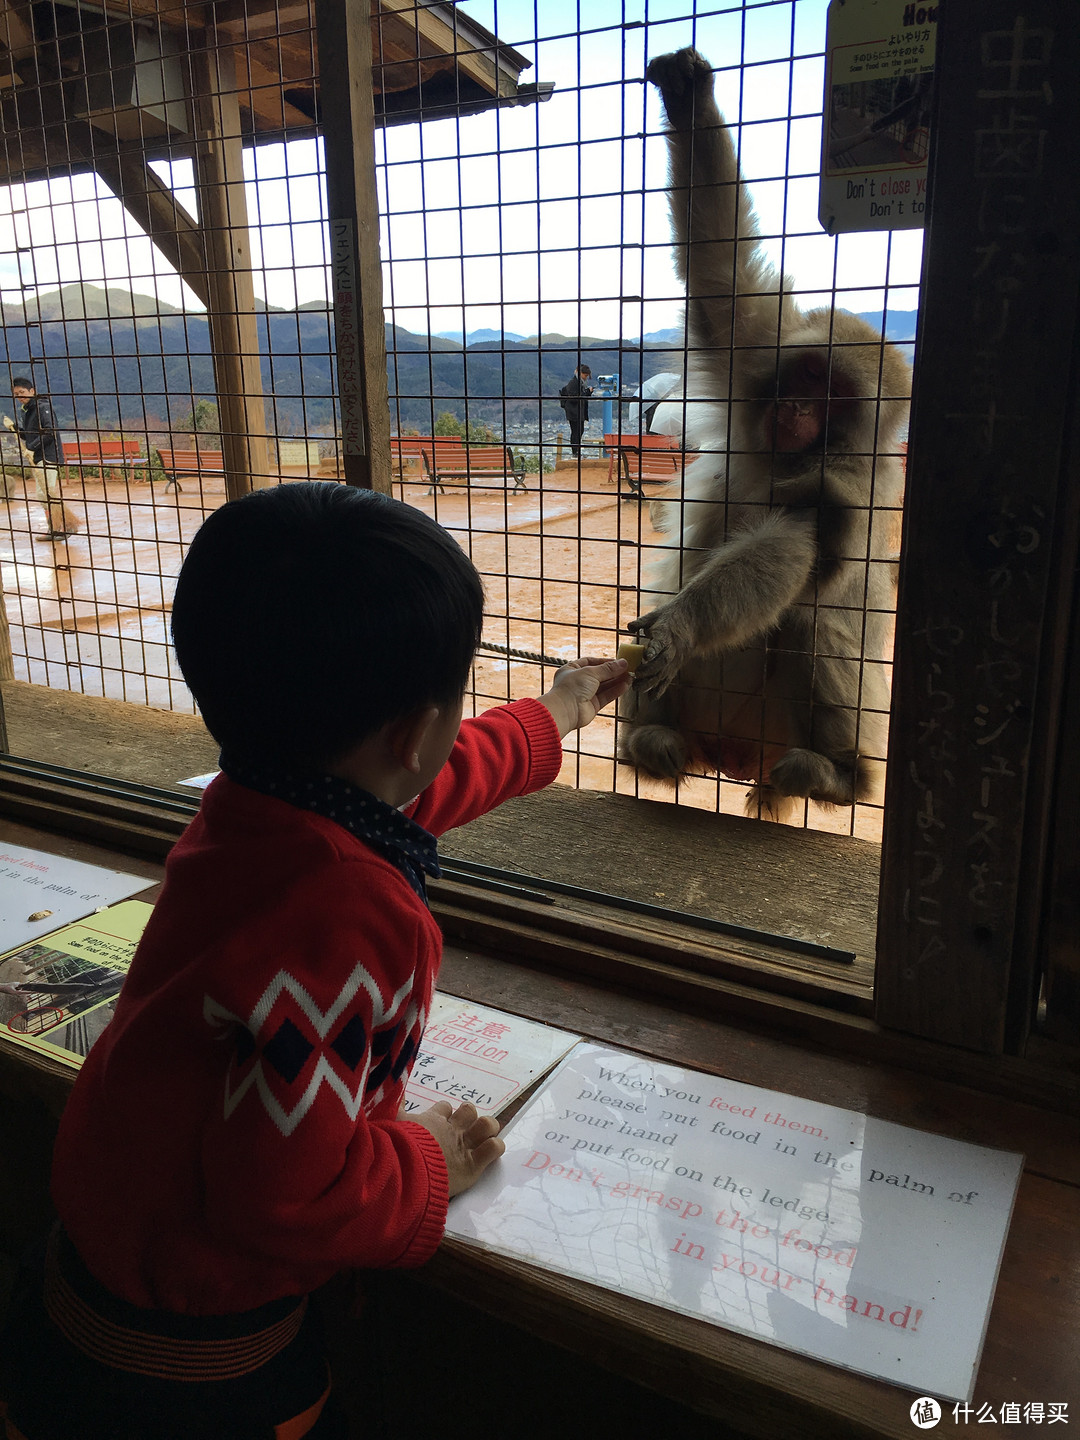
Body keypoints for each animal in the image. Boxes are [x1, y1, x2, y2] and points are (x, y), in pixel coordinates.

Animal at [622, 50, 915, 823]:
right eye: (805, 374)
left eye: (835, 397)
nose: (797, 407)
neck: (790, 450)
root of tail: (733, 755)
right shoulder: (755, 360)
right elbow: (721, 280)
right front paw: (689, 96)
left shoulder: (857, 479)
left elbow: (806, 537)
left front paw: (684, 624)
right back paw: (652, 741)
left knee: (817, 617)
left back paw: (835, 775)